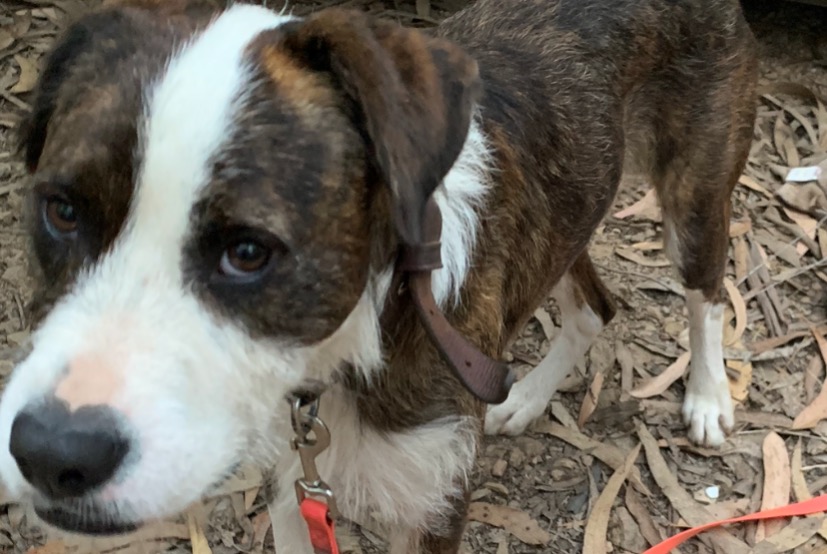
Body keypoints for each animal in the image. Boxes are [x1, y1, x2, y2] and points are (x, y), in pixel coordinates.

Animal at [0, 0, 756, 548]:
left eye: (248, 251)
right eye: (61, 210)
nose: (51, 453)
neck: (364, 332)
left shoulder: (433, 508)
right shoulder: (292, 485)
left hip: (692, 201)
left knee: (706, 293)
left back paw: (707, 397)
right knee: (595, 305)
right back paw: (524, 398)